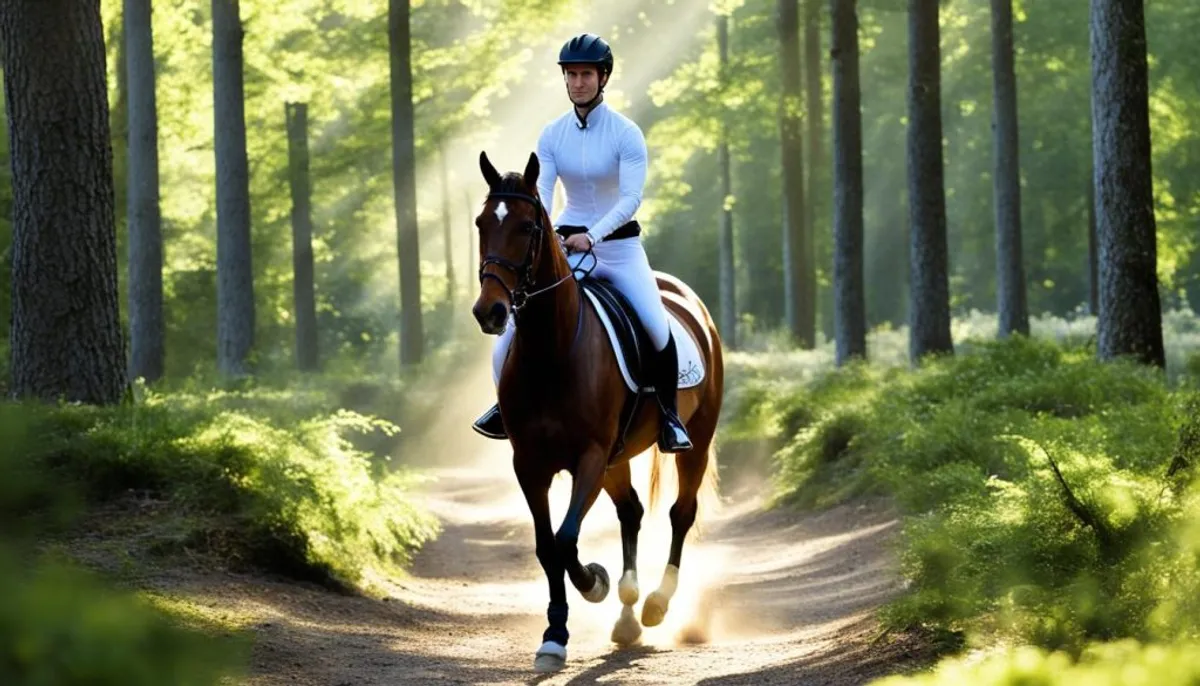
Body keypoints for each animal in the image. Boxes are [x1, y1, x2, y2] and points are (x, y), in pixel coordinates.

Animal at [472, 149, 724, 671]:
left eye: (527, 226)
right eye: (482, 222)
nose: (490, 312)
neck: (552, 351)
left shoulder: (588, 457)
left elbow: (566, 540)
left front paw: (593, 582)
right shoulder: (530, 465)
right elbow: (547, 546)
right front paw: (554, 635)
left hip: (695, 442)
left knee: (681, 513)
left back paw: (655, 604)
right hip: (617, 458)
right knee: (631, 511)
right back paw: (627, 614)